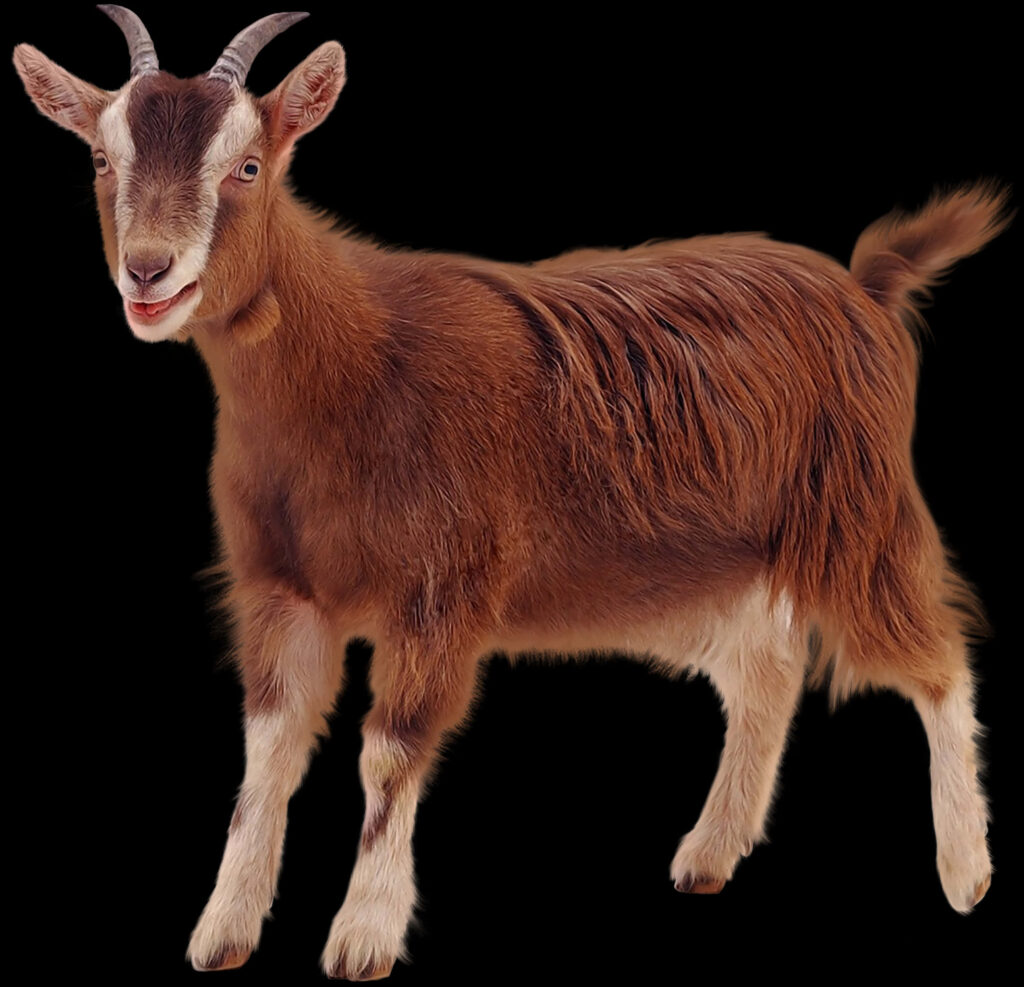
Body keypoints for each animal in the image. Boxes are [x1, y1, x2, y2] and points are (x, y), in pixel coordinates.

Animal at [14, 6, 1008, 980]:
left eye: (249, 167)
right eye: (101, 161)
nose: (149, 270)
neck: (350, 371)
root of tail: (867, 288)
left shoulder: (440, 588)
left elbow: (390, 749)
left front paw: (362, 936)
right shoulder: (279, 588)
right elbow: (268, 752)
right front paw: (222, 928)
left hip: (856, 516)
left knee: (936, 657)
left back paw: (965, 872)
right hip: (712, 568)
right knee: (765, 673)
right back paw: (708, 854)